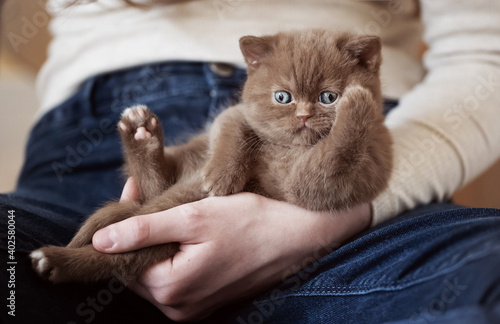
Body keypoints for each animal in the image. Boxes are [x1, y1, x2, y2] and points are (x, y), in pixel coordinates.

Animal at [30, 30, 390, 284]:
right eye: (282, 97)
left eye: (328, 97)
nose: (303, 116)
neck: (287, 148)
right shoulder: (235, 113)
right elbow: (231, 127)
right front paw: (222, 176)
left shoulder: (319, 183)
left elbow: (333, 157)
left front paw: (357, 102)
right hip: (182, 174)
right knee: (151, 194)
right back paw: (140, 134)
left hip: (169, 216)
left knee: (129, 245)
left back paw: (56, 261)